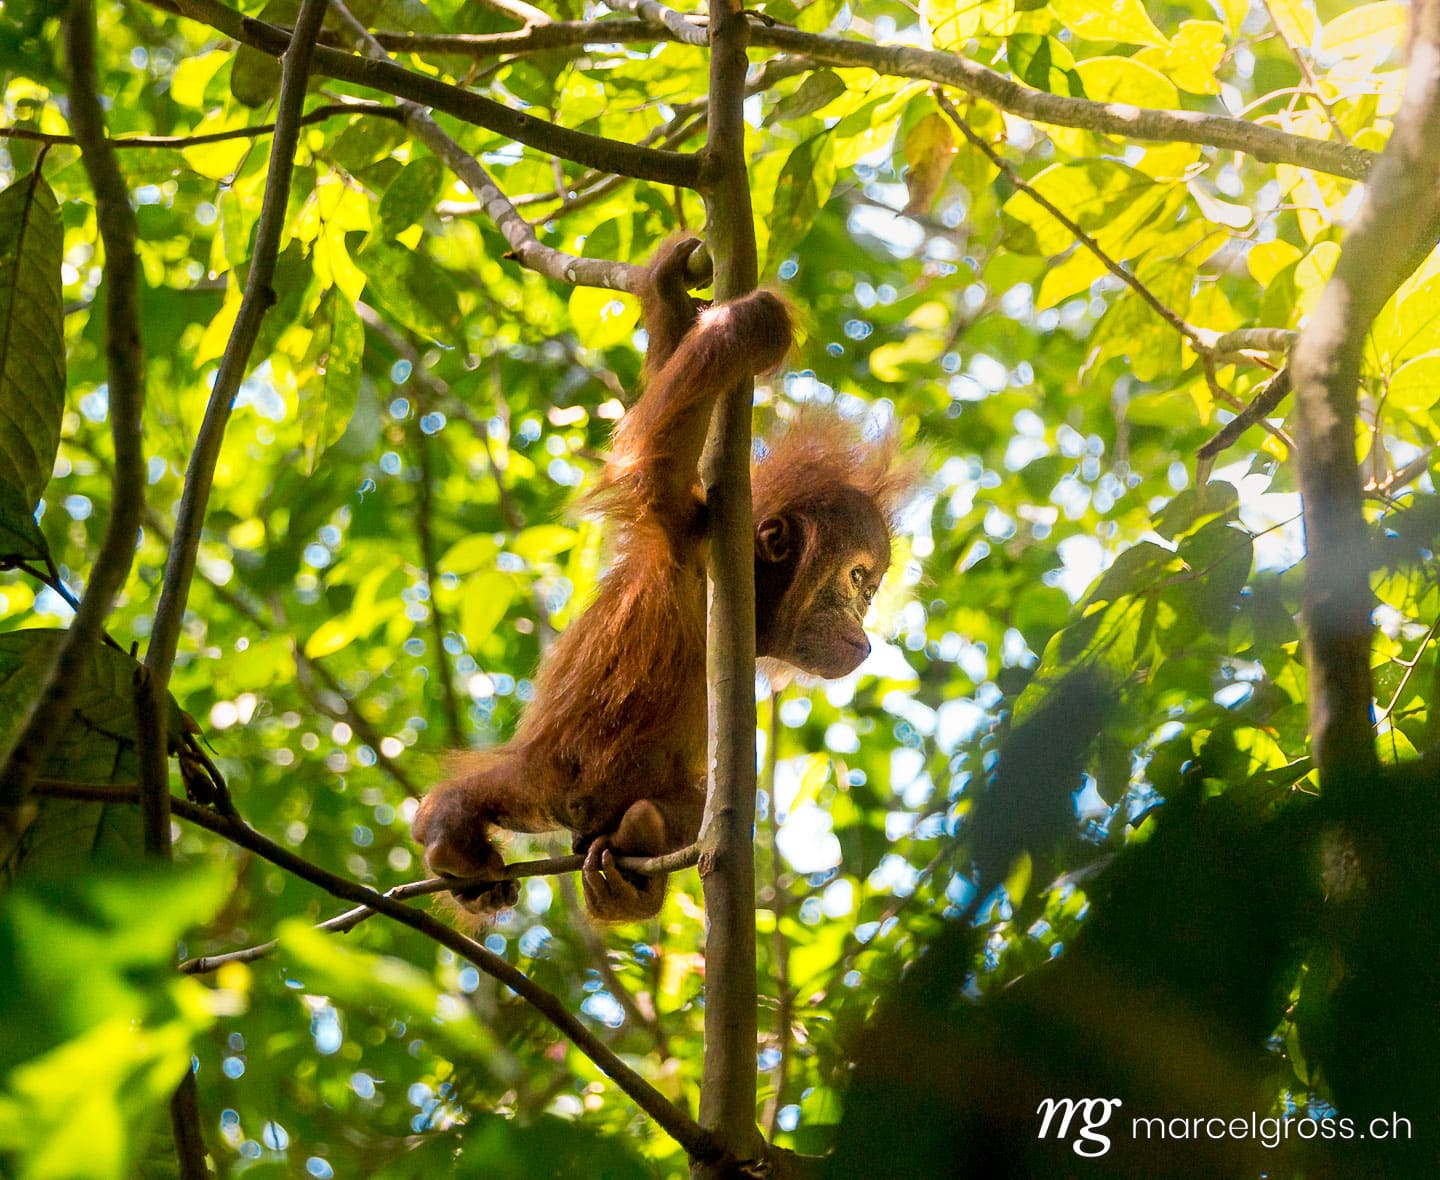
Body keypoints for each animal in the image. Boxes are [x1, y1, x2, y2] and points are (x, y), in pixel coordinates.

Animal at [412, 237, 914, 922]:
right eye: (858, 578)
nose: (863, 633)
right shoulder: (688, 536)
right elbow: (655, 458)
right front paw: (746, 327)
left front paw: (670, 294)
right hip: (550, 773)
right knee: (488, 795)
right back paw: (446, 833)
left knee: (667, 810)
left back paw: (628, 870)